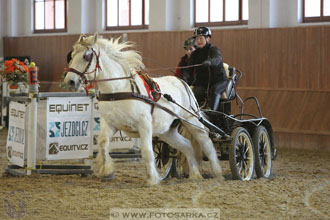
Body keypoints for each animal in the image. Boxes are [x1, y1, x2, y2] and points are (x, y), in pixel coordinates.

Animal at [63, 33, 222, 185]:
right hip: (167, 131)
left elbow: (147, 151)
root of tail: (183, 82)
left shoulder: (144, 124)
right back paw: (195, 175)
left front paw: (152, 179)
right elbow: (102, 143)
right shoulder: (110, 123)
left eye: (86, 56)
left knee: (207, 143)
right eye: (71, 56)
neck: (118, 89)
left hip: (192, 120)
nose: (70, 81)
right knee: (187, 146)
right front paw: (106, 171)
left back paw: (218, 173)